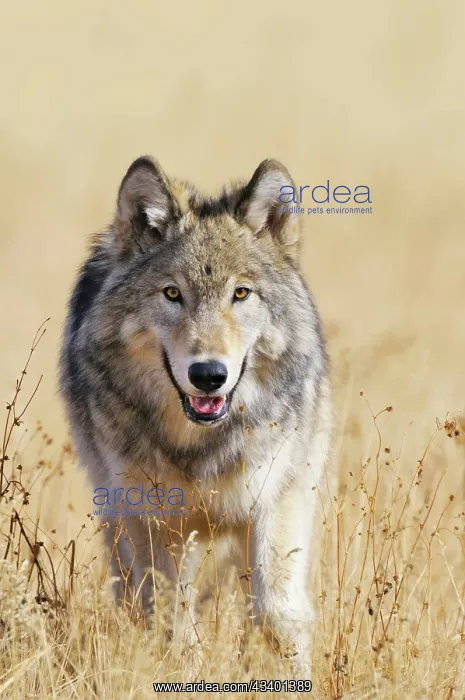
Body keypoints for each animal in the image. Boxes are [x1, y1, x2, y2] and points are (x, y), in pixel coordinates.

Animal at [60, 155, 332, 668]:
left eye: (241, 294)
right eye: (172, 294)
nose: (208, 374)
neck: (199, 445)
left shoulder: (275, 497)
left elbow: (276, 613)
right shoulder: (152, 521)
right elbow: (174, 625)